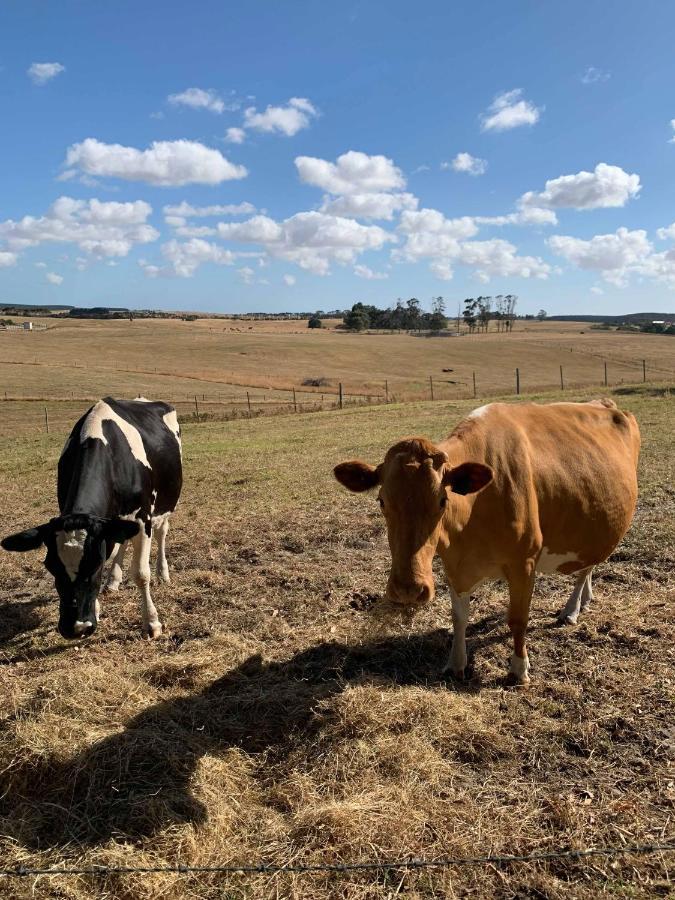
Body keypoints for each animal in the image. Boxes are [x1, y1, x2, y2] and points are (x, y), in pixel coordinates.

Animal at [0, 396, 182, 640]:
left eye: (96, 564)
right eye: (51, 566)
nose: (76, 627)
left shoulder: (143, 518)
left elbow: (141, 574)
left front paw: (151, 622)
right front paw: (96, 609)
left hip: (166, 502)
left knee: (162, 531)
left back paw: (163, 573)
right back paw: (113, 581)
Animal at [336, 398, 640, 684]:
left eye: (442, 500)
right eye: (381, 501)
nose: (408, 589)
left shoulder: (523, 562)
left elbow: (518, 619)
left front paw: (519, 670)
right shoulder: (453, 564)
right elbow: (459, 617)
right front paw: (456, 664)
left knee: (586, 567)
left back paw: (572, 609)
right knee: (587, 566)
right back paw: (585, 599)